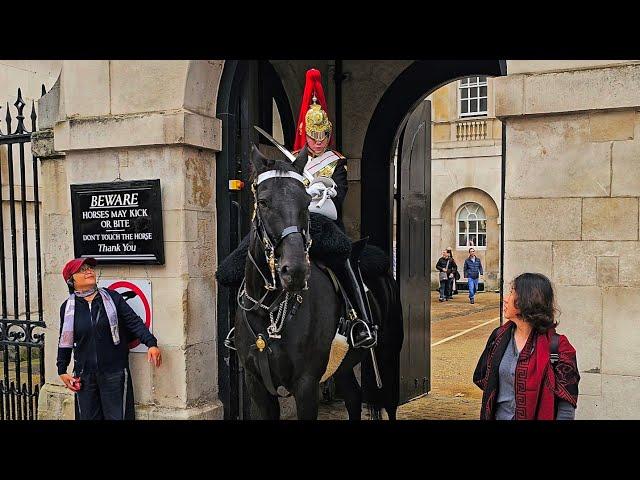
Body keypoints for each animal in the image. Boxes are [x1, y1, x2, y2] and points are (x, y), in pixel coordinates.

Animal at [235, 144, 402, 418]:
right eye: (263, 202)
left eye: (306, 202)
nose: (295, 271)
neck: (267, 311)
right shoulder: (256, 385)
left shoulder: (306, 384)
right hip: (343, 363)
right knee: (353, 397)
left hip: (388, 353)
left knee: (389, 402)